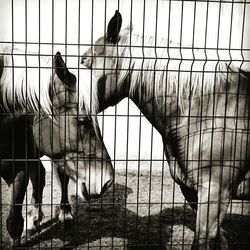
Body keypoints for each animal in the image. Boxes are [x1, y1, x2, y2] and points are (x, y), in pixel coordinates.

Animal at [0, 46, 113, 246]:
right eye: (82, 120)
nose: (106, 181)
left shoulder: (16, 169)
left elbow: (14, 223)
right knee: (39, 174)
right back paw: (34, 219)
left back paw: (64, 214)